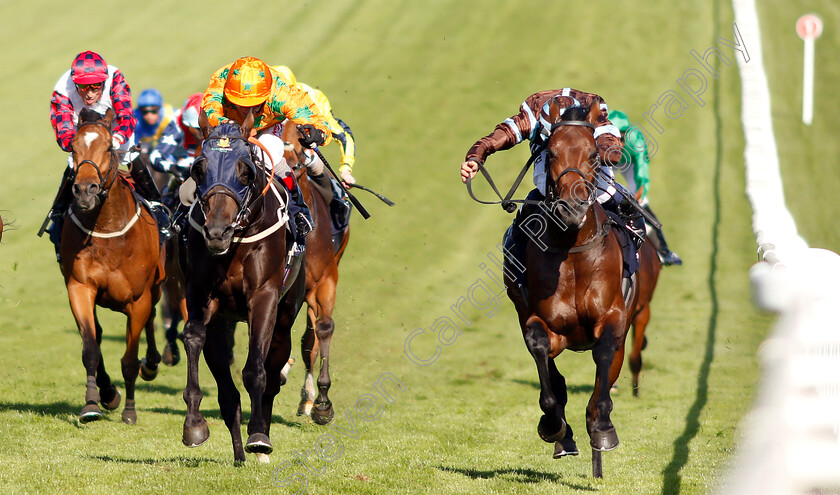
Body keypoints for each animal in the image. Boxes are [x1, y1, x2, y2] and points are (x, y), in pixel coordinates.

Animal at [61, 107, 166, 422]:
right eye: (73, 147)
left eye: (108, 146)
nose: (85, 190)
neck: (107, 229)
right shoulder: (80, 287)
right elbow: (90, 347)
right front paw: (93, 403)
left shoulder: (138, 299)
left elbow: (130, 359)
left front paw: (130, 411)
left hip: (157, 285)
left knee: (153, 315)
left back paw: (152, 363)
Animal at [182, 110, 306, 464]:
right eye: (199, 168)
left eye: (245, 170)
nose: (217, 232)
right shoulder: (201, 292)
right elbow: (193, 338)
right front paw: (194, 424)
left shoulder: (264, 296)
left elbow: (255, 372)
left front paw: (259, 437)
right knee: (227, 393)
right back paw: (238, 454)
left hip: (286, 313)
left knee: (272, 373)